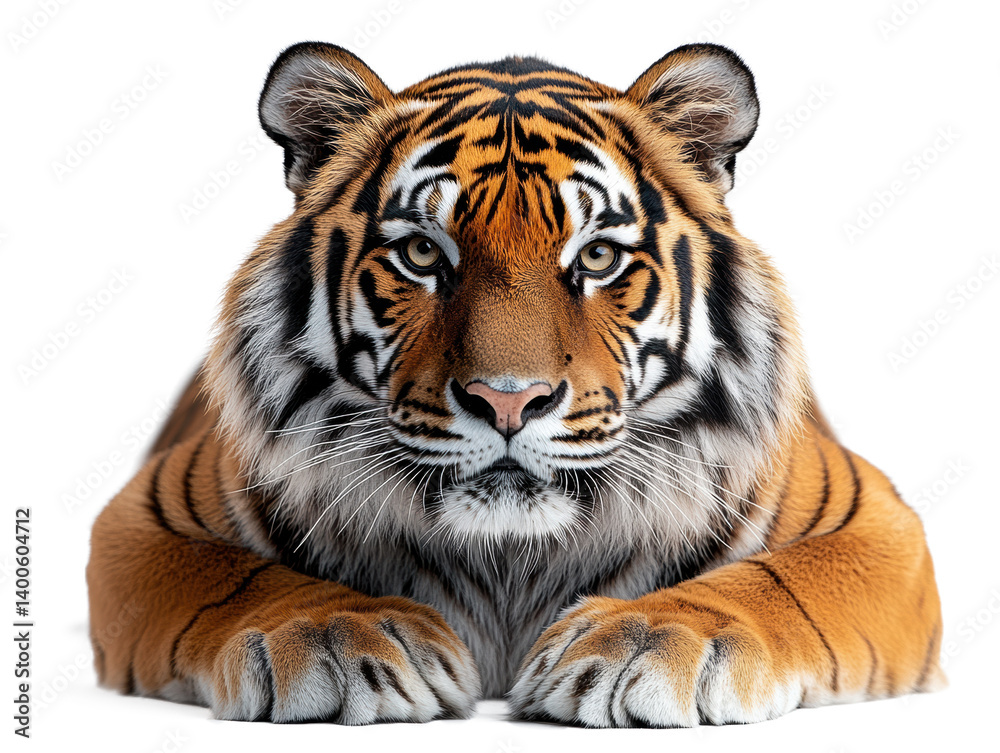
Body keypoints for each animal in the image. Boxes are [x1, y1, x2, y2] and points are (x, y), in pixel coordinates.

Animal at [86, 41, 945, 727]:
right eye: (422, 254)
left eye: (596, 257)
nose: (507, 399)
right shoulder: (146, 516)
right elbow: (236, 575)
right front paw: (335, 631)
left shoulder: (874, 520)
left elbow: (776, 580)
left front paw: (656, 639)